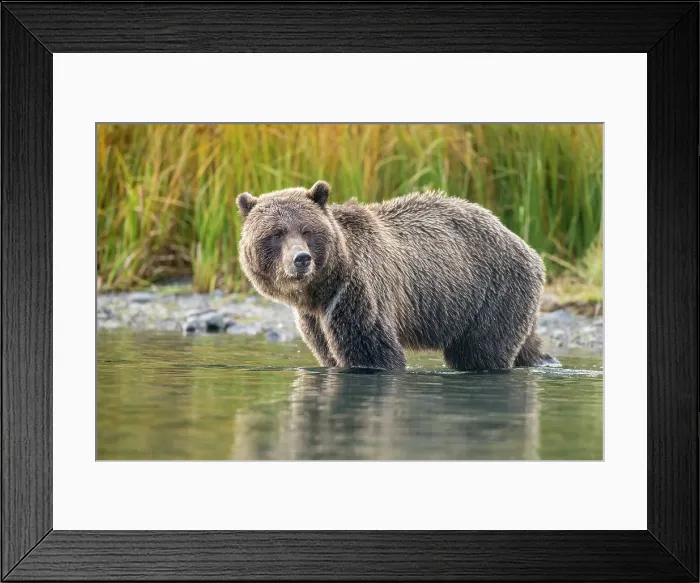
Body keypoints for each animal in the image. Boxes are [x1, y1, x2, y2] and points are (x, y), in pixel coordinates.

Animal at [236, 180, 554, 372]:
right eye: (276, 233)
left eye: (306, 230)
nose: (301, 259)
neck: (320, 289)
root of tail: (526, 246)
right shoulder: (314, 317)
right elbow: (328, 352)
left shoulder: (358, 291)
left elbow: (372, 351)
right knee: (525, 343)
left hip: (492, 292)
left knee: (479, 351)